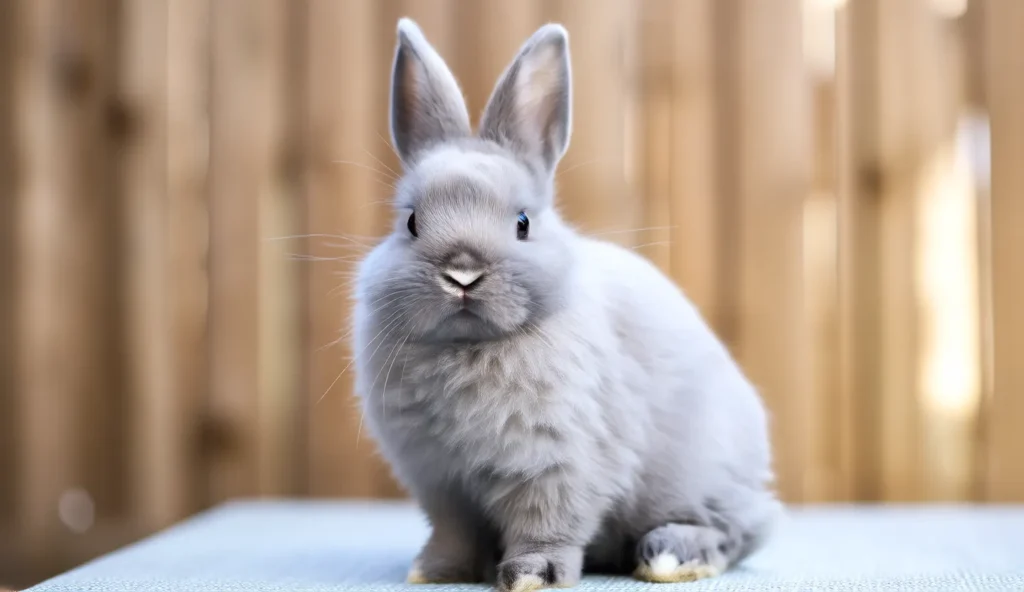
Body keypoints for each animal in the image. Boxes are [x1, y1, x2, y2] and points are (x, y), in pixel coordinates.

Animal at [351, 17, 783, 592]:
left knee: (740, 531)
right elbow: (454, 532)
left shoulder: (559, 463)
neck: (471, 346)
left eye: (522, 223)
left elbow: (547, 524)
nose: (462, 273)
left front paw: (531, 577)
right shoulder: (442, 482)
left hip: (704, 478)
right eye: (411, 222)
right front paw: (434, 571)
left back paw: (670, 556)